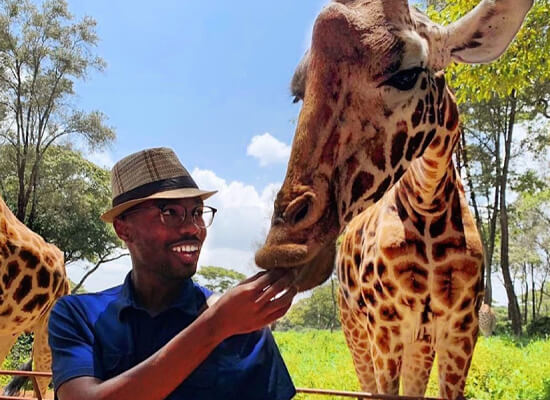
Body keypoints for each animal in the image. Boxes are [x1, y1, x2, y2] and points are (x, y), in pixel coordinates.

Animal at [256, 1, 536, 398]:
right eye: (299, 93)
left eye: (406, 75)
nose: (281, 247)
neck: (429, 205)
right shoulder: (384, 328)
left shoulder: (461, 330)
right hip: (354, 330)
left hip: (419, 340)